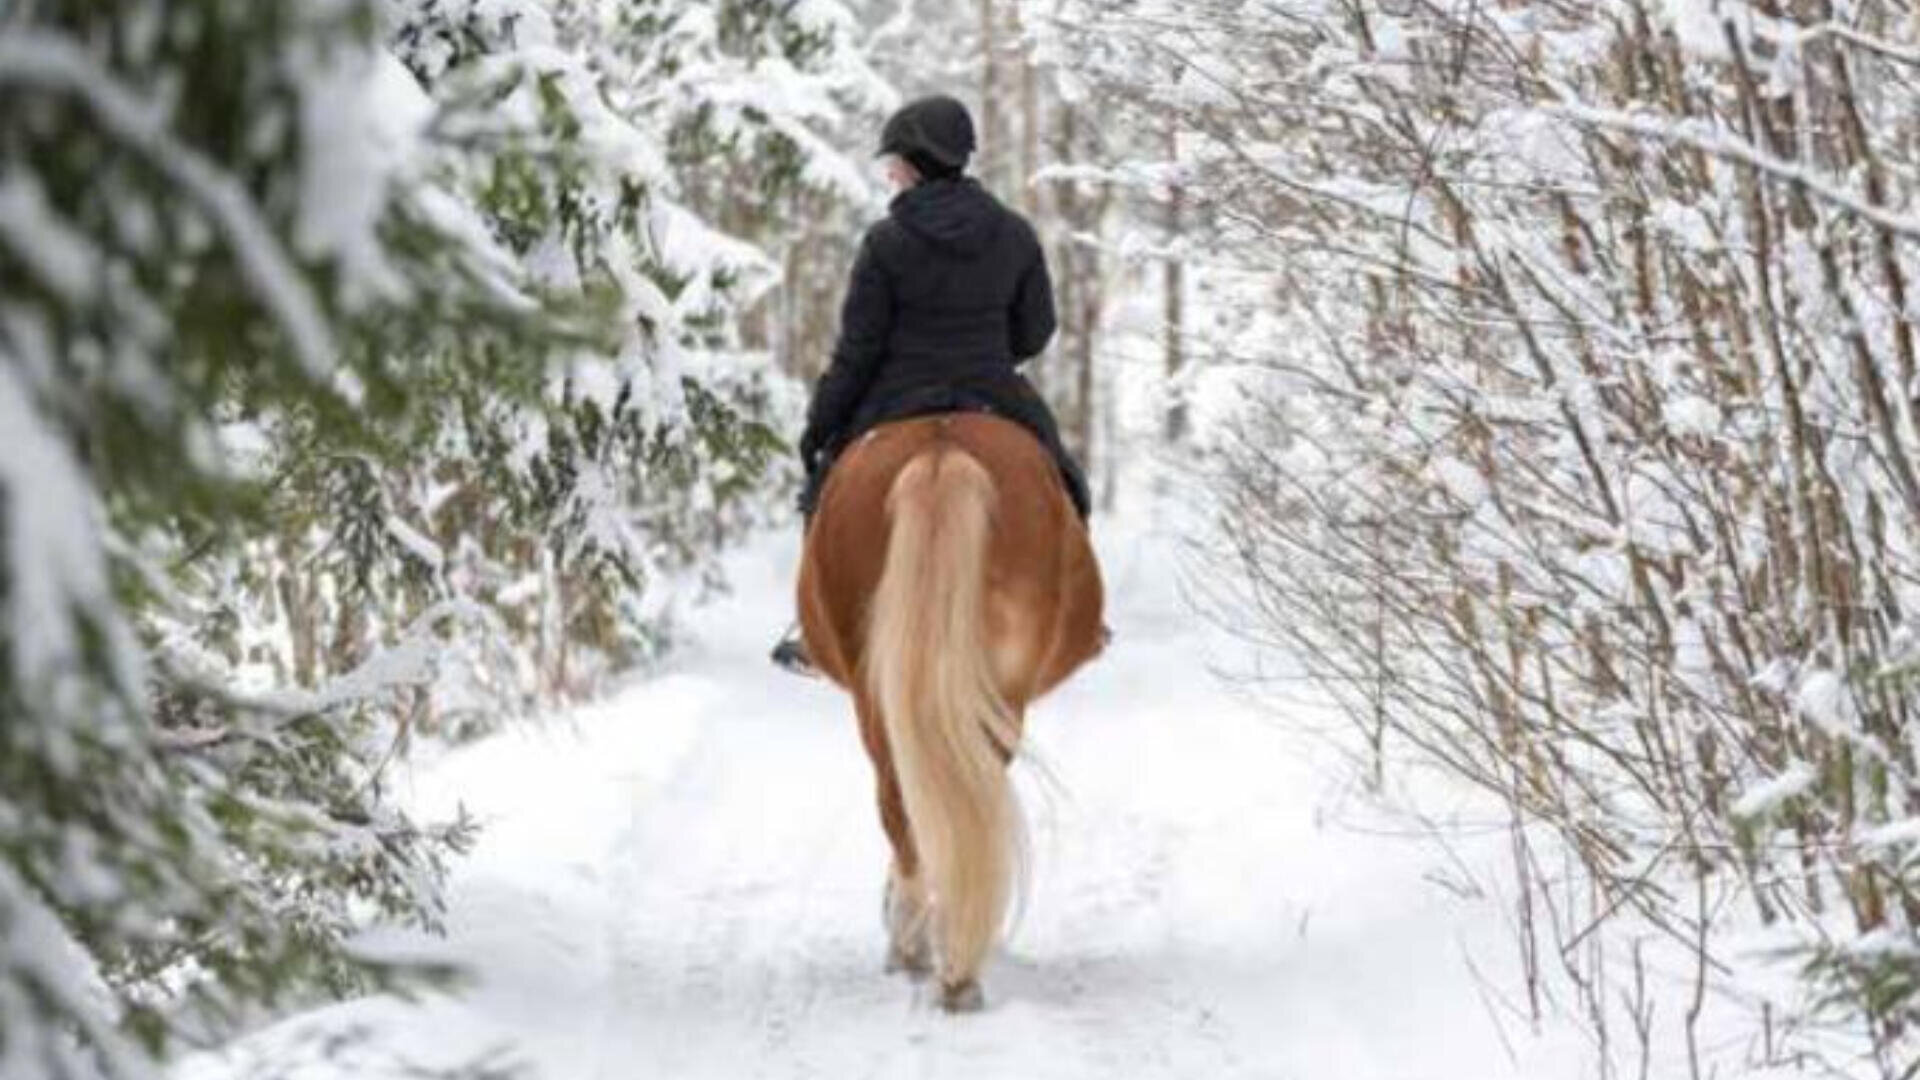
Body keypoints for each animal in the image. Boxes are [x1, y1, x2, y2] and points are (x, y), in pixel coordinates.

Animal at [795, 411, 1106, 1012]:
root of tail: (942, 455)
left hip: (887, 692)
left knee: (905, 802)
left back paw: (926, 951)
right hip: (991, 693)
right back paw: (945, 955)